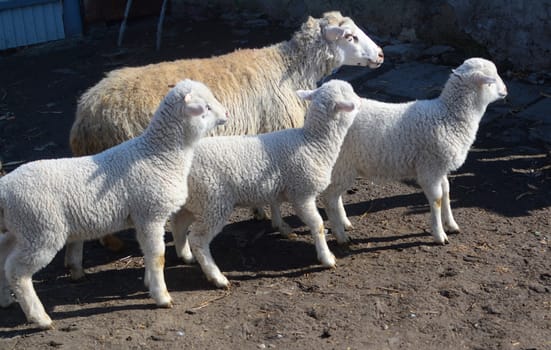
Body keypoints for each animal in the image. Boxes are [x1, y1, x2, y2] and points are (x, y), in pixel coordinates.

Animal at [0, 78, 226, 328]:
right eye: (206, 107)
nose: (226, 114)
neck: (158, 154)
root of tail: (4, 189)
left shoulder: (141, 218)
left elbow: (148, 253)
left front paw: (149, 284)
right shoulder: (151, 214)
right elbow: (157, 256)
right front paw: (162, 297)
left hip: (20, 229)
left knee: (2, 258)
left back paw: (5, 301)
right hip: (41, 230)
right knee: (17, 272)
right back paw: (39, 318)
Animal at [170, 80, 364, 288]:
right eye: (350, 94)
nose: (361, 101)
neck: (313, 141)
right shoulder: (302, 192)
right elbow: (317, 224)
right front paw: (326, 258)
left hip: (195, 200)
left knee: (178, 224)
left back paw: (185, 256)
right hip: (212, 200)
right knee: (197, 239)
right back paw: (216, 277)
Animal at [322, 56, 512, 243]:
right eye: (492, 79)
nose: (506, 90)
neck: (449, 116)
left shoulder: (439, 168)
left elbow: (446, 192)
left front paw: (451, 224)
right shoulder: (429, 169)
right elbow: (437, 199)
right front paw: (439, 234)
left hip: (341, 167)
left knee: (335, 196)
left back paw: (345, 223)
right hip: (343, 164)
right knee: (329, 199)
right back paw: (341, 235)